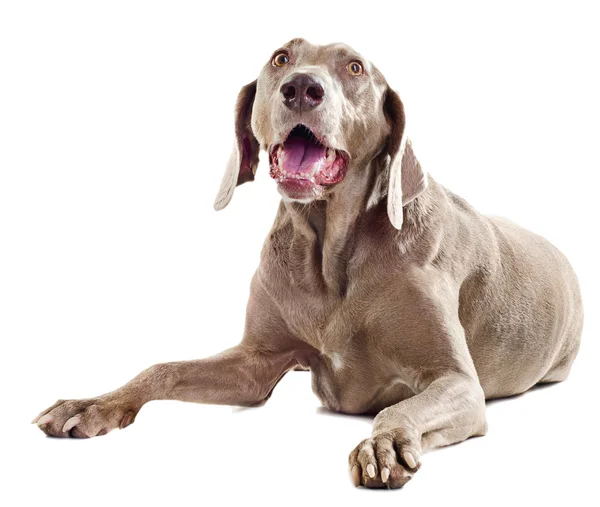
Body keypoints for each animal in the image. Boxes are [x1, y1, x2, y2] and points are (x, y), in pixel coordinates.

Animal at [31, 37, 580, 490]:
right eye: (280, 58)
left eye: (355, 67)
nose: (301, 88)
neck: (329, 258)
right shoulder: (255, 362)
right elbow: (161, 369)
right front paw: (94, 404)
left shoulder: (458, 383)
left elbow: (400, 410)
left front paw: (383, 444)